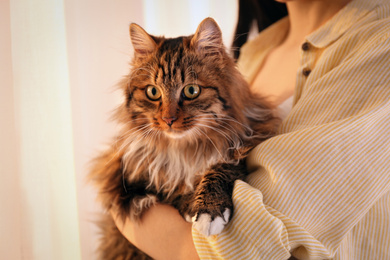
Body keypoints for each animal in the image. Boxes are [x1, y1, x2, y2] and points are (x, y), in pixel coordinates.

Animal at [89, 17, 278, 258]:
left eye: (191, 91)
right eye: (153, 92)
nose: (168, 119)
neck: (185, 150)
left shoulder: (245, 143)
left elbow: (221, 168)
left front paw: (208, 210)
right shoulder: (124, 178)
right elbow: (167, 189)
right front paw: (190, 204)